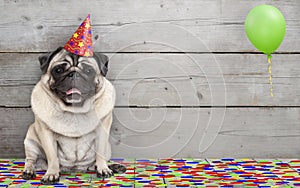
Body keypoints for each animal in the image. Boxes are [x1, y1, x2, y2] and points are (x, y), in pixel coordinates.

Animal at [22, 46, 125, 184]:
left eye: (89, 71)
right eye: (58, 70)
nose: (74, 74)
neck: (74, 110)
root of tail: (75, 168)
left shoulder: (103, 132)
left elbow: (100, 153)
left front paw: (103, 169)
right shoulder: (46, 133)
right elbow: (52, 156)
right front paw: (51, 174)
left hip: (108, 149)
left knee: (96, 161)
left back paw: (110, 166)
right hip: (31, 141)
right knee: (30, 160)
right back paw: (28, 171)